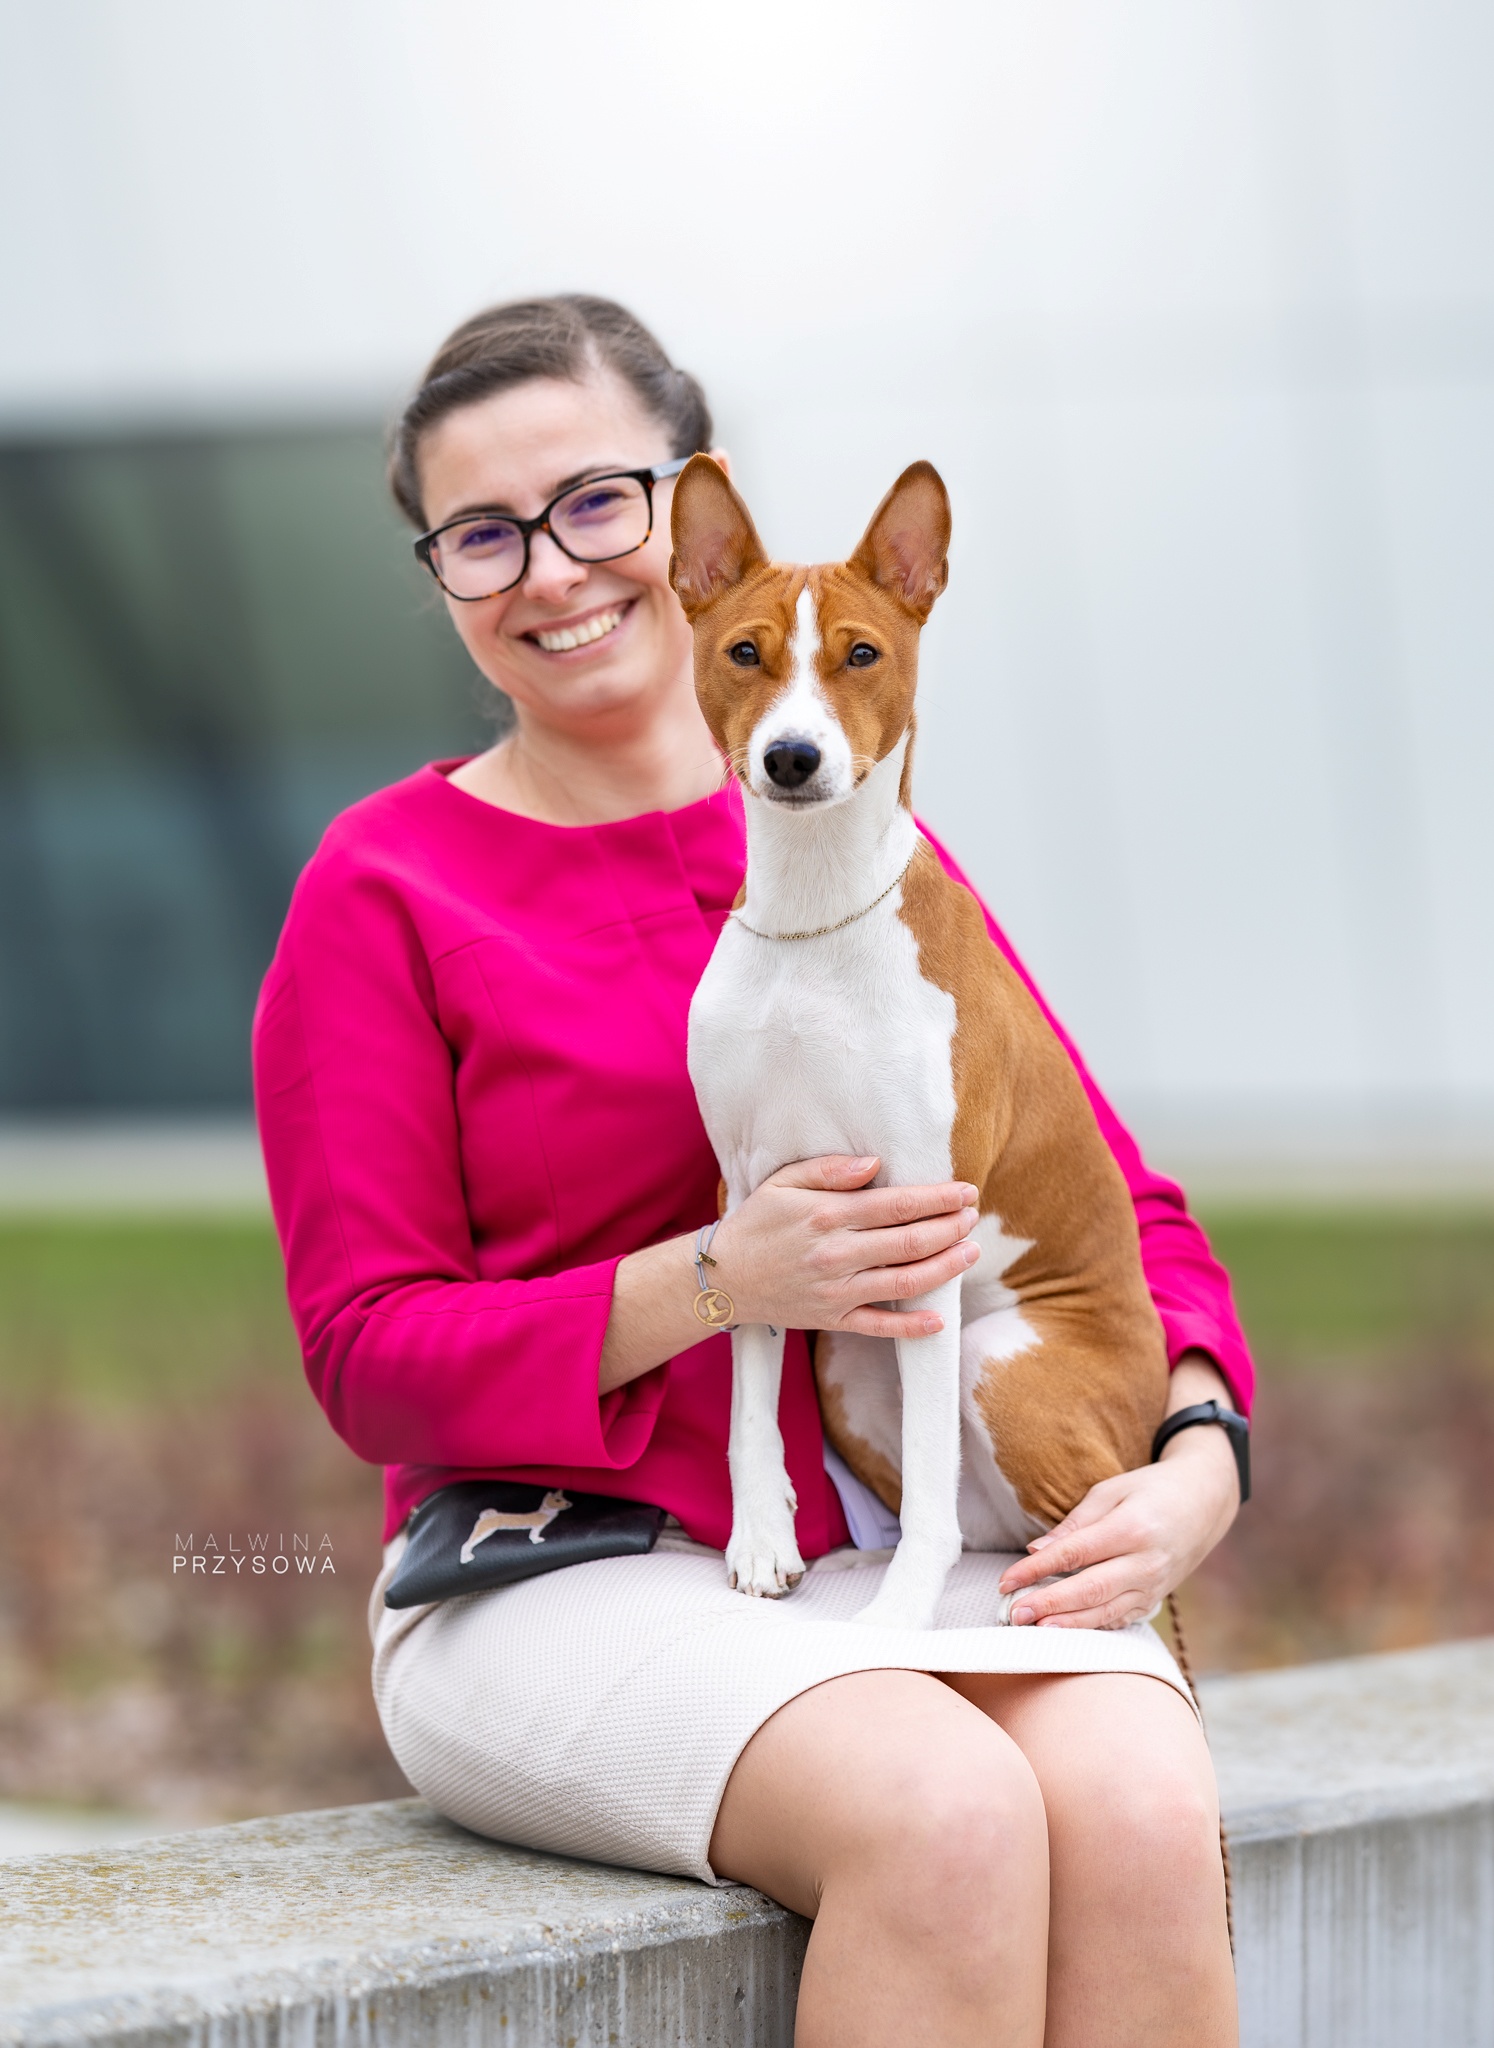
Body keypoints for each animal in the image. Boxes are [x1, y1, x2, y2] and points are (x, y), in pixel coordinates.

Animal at [670, 456, 1169, 1630]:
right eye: (744, 652)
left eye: (862, 654)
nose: (792, 756)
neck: (813, 920)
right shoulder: (752, 1200)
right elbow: (749, 1402)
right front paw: (762, 1540)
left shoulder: (923, 1211)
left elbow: (933, 1502)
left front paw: (897, 1618)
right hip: (852, 1364)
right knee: (995, 1522)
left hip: (992, 1352)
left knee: (1088, 1543)